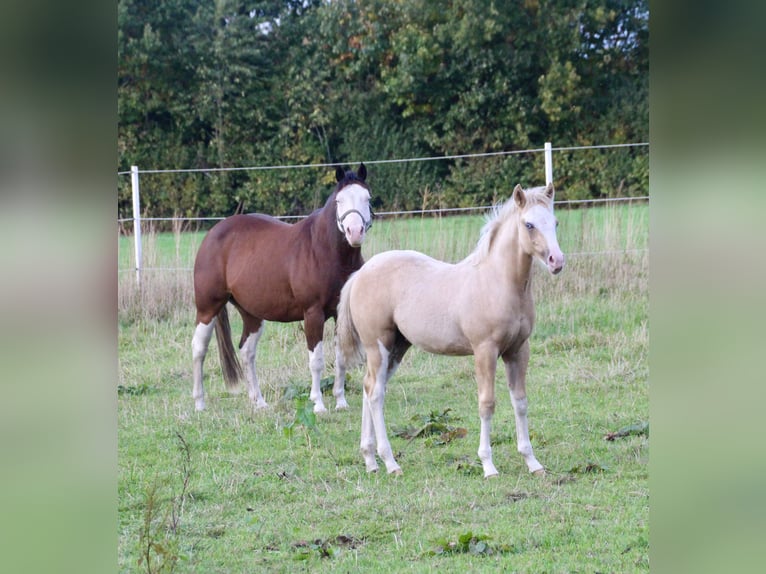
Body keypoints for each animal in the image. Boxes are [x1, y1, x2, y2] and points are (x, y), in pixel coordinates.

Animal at [192, 163, 373, 414]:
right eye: (340, 200)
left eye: (368, 198)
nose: (354, 232)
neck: (325, 251)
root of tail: (212, 234)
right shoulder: (313, 314)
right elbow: (316, 360)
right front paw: (318, 404)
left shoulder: (340, 313)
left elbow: (340, 357)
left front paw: (341, 402)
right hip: (208, 307)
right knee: (199, 349)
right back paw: (199, 403)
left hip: (251, 314)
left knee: (247, 352)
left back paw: (259, 402)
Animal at [337, 183, 564, 477]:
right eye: (529, 224)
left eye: (555, 222)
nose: (557, 261)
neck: (498, 282)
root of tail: (360, 274)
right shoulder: (485, 350)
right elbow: (487, 404)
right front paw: (488, 465)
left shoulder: (518, 350)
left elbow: (521, 402)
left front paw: (532, 462)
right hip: (379, 345)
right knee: (376, 394)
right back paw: (390, 462)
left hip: (396, 347)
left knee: (369, 386)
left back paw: (370, 460)